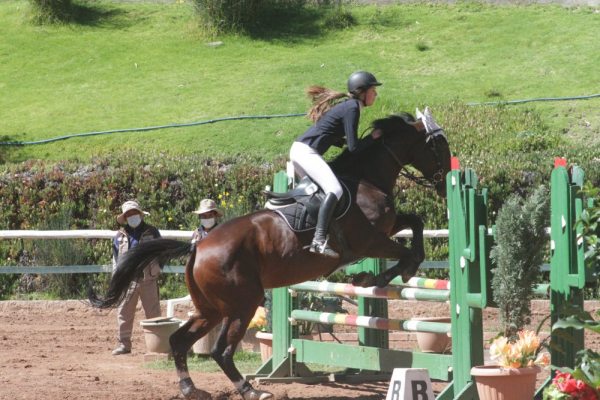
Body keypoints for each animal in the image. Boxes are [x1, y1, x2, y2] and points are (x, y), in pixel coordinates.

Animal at [88, 112, 452, 400]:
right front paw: (386, 275)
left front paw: (373, 276)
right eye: (438, 145)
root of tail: (197, 247)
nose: (445, 183)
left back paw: (191, 388)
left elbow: (415, 223)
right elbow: (406, 250)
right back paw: (251, 389)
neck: (366, 179)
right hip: (243, 302)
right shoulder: (370, 241)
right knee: (221, 350)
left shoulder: (384, 231)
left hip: (212, 309)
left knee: (179, 341)